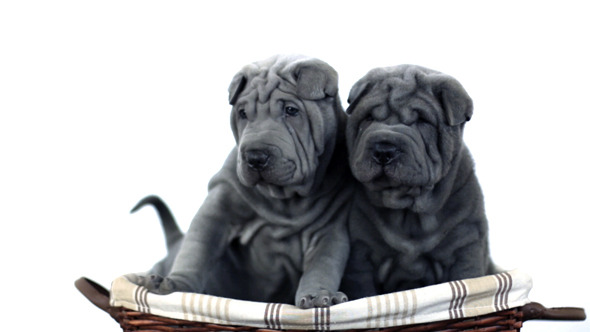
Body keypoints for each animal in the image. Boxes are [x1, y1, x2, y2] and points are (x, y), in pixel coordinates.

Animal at [128, 55, 356, 308]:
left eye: (291, 110)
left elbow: (322, 265)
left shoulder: (330, 229)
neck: (284, 198)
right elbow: (196, 250)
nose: (255, 157)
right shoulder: (218, 207)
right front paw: (176, 283)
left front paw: (318, 295)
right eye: (243, 113)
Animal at [340, 63, 498, 300]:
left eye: (422, 121)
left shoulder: (465, 246)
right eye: (368, 118)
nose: (384, 149)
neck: (409, 212)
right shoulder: (361, 255)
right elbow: (363, 291)